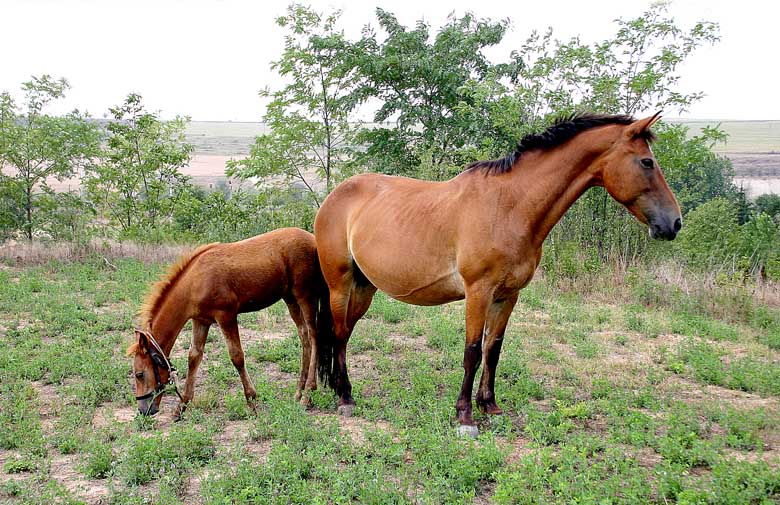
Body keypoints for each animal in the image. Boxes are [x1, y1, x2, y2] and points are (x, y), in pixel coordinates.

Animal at [126, 227, 331, 418]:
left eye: (139, 374)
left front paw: (251, 401)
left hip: (305, 295)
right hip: (289, 298)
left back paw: (308, 394)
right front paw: (181, 406)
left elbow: (237, 356)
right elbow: (194, 357)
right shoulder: (201, 321)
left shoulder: (226, 316)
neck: (195, 282)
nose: (144, 410)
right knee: (304, 336)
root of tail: (313, 239)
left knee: (314, 336)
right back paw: (299, 391)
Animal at [313, 112, 682, 434]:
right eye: (647, 162)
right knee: (339, 332)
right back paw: (345, 397)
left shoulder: (508, 295)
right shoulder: (479, 292)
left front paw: (489, 406)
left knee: (343, 334)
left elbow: (494, 349)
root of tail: (334, 196)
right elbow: (472, 351)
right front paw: (464, 416)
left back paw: (339, 388)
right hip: (340, 284)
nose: (674, 223)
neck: (510, 207)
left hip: (364, 287)